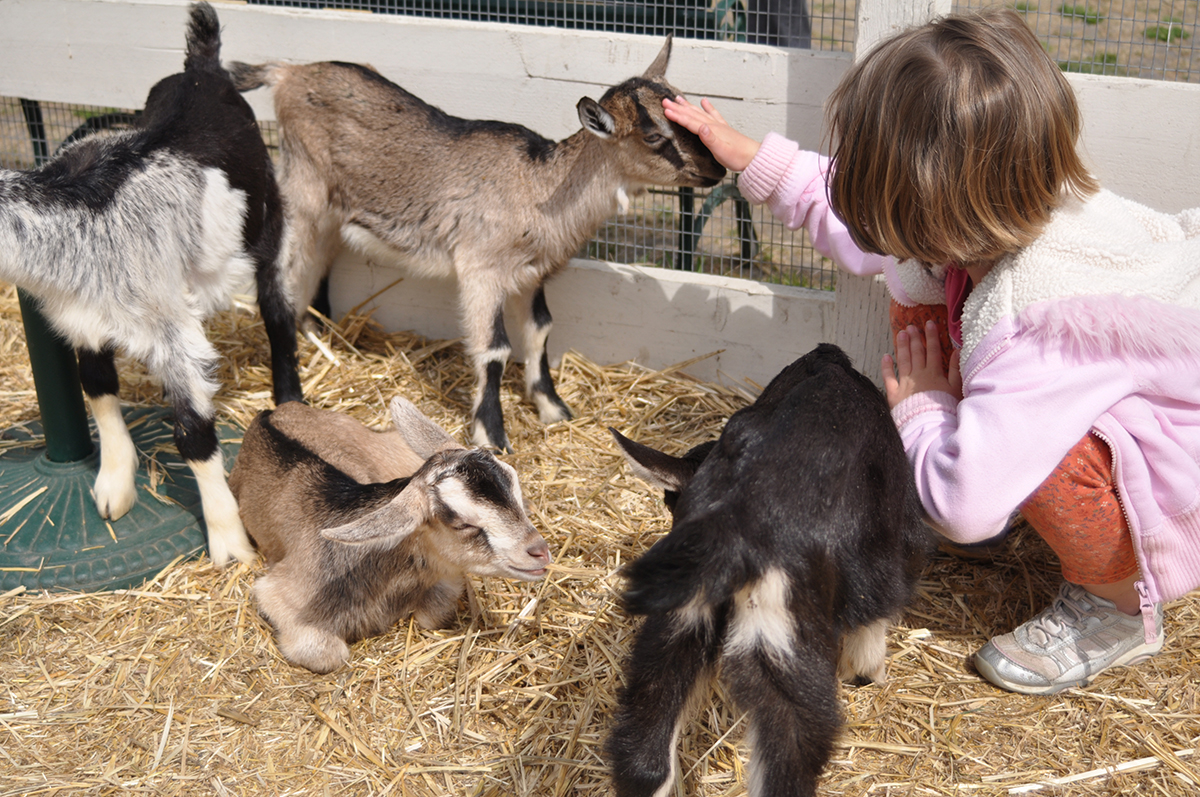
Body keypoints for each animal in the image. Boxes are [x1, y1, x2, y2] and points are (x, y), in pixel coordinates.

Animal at [0, 3, 300, 568]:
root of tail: (201, 66)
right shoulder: (82, 319)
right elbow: (96, 386)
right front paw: (114, 487)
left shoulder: (170, 335)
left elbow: (194, 434)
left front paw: (230, 544)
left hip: (270, 222)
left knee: (279, 309)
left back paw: (291, 400)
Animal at [226, 396, 549, 672]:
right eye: (462, 523)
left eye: (514, 485)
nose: (540, 551)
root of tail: (271, 413)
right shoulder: (276, 595)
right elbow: (329, 654)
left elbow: (435, 612)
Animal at [229, 40, 724, 451]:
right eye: (654, 136)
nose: (717, 169)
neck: (538, 187)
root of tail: (288, 72)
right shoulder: (480, 270)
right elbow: (494, 351)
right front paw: (493, 437)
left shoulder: (531, 273)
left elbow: (540, 330)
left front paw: (554, 410)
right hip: (301, 188)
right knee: (274, 282)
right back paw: (291, 394)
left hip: (332, 210)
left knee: (315, 264)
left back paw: (318, 336)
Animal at [609, 343, 926, 797]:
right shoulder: (891, 538)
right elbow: (876, 616)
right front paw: (865, 674)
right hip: (783, 649)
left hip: (674, 630)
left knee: (643, 756)